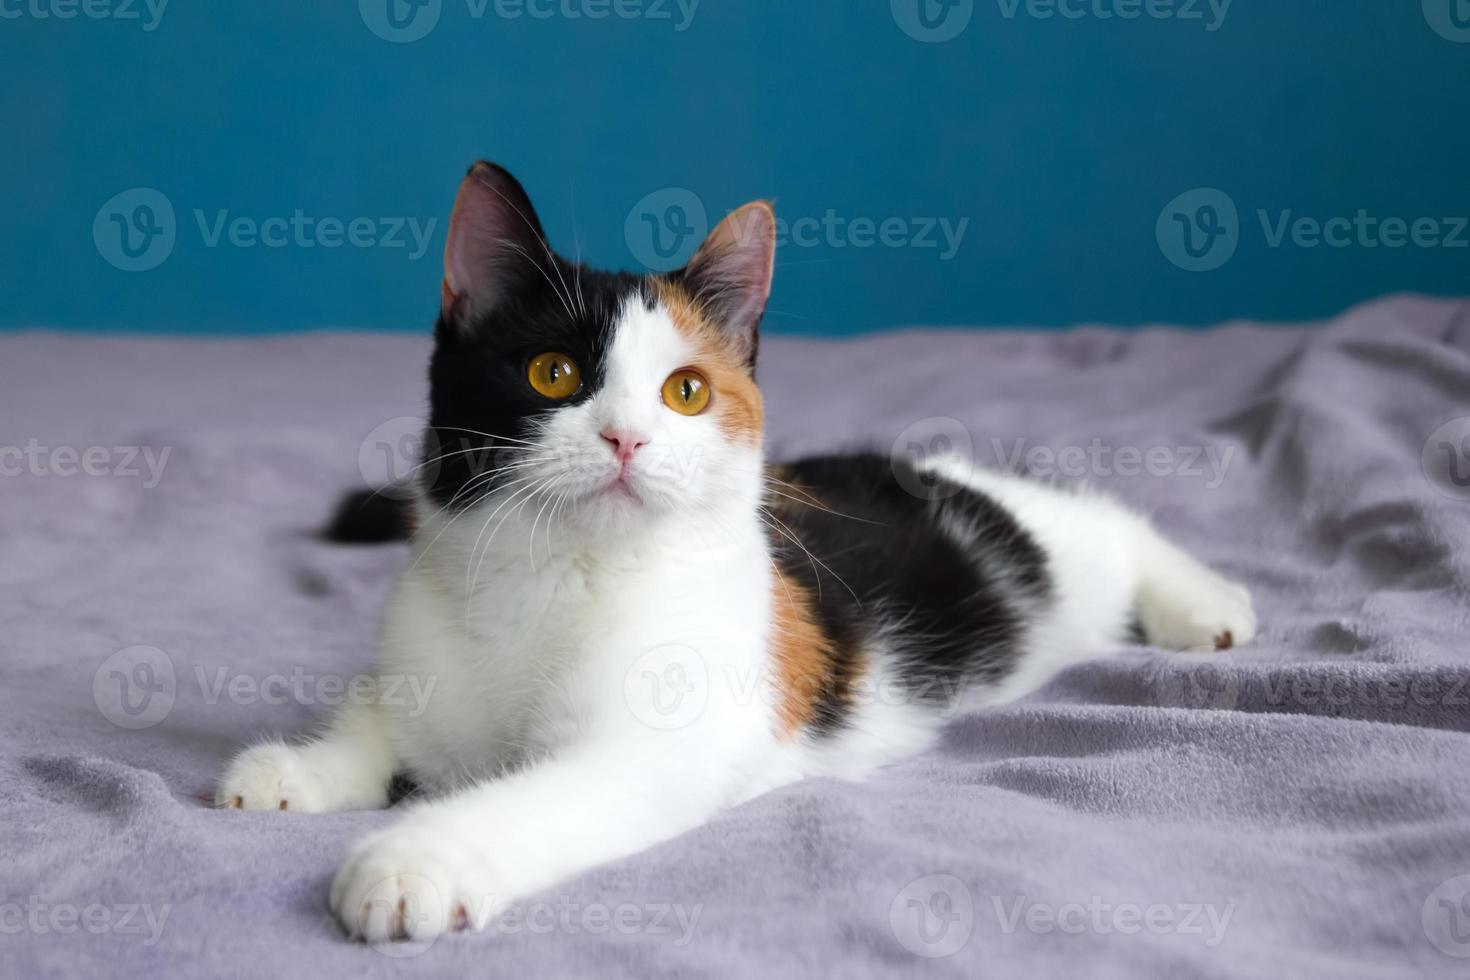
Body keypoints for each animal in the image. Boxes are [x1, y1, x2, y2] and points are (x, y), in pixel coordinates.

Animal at [214, 159, 1252, 940]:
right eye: (552, 372)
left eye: (685, 392)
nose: (627, 437)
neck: (554, 576)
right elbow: (385, 715)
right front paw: (299, 768)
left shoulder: (662, 741)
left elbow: (540, 796)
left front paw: (413, 859)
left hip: (1044, 570)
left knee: (1105, 523)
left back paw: (1203, 603)